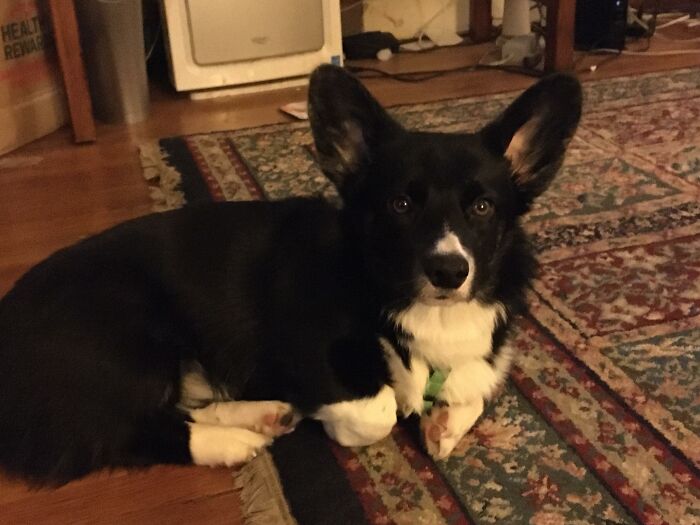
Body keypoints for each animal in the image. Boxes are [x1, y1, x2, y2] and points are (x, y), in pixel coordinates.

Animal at [0, 65, 581, 484]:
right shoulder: (306, 351)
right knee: (128, 430)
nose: (448, 271)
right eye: (400, 204)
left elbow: (472, 390)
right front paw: (360, 419)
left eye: (482, 207)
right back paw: (231, 442)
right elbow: (379, 410)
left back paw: (260, 415)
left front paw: (441, 425)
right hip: (131, 336)